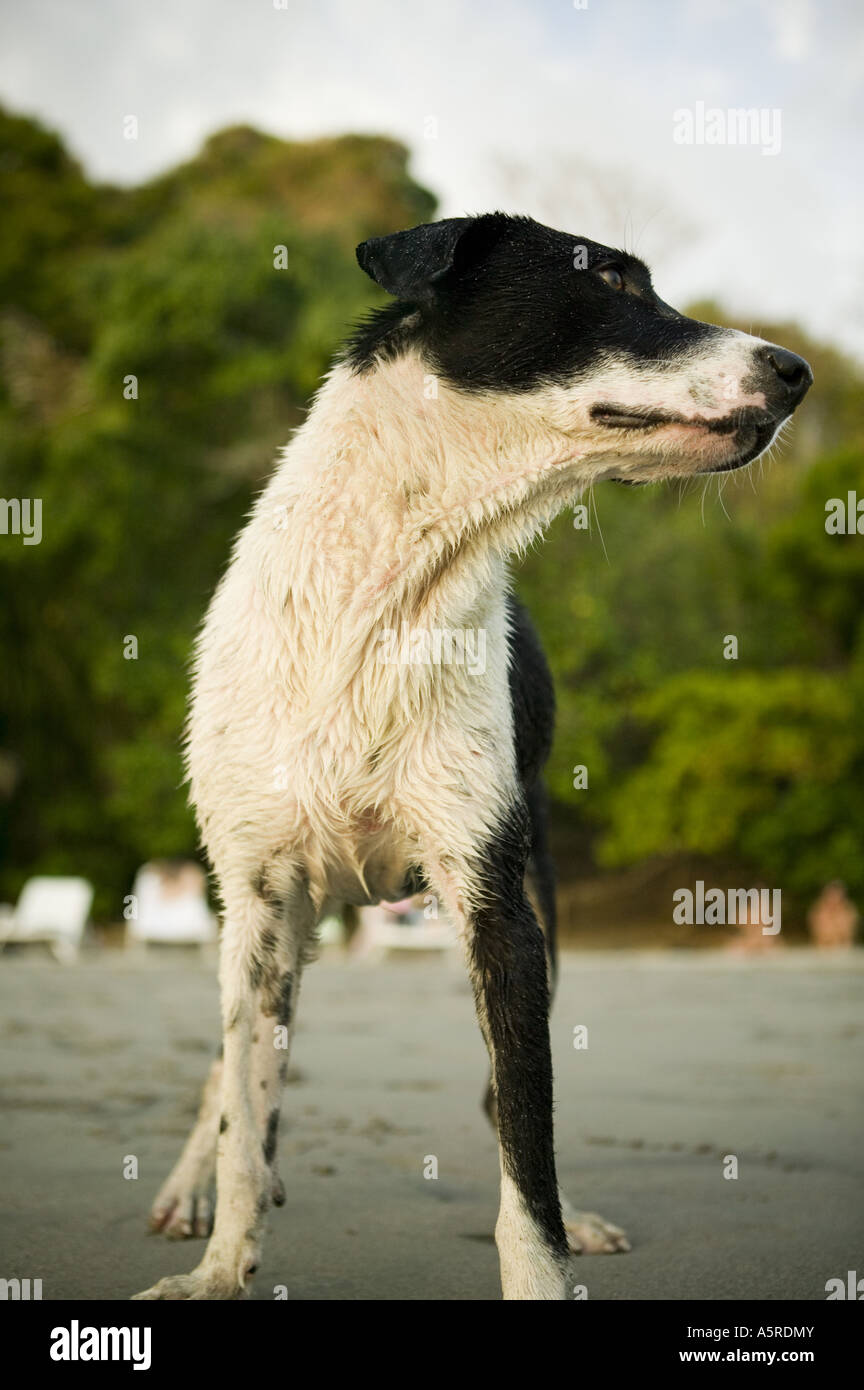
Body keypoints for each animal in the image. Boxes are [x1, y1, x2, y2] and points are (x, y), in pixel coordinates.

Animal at [134, 211, 811, 1295]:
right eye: (611, 281)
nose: (799, 372)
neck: (393, 591)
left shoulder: (501, 908)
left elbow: (526, 1144)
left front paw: (542, 1266)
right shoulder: (262, 895)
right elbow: (244, 1107)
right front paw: (221, 1265)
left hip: (535, 890)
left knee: (504, 1100)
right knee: (229, 1074)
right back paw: (192, 1184)